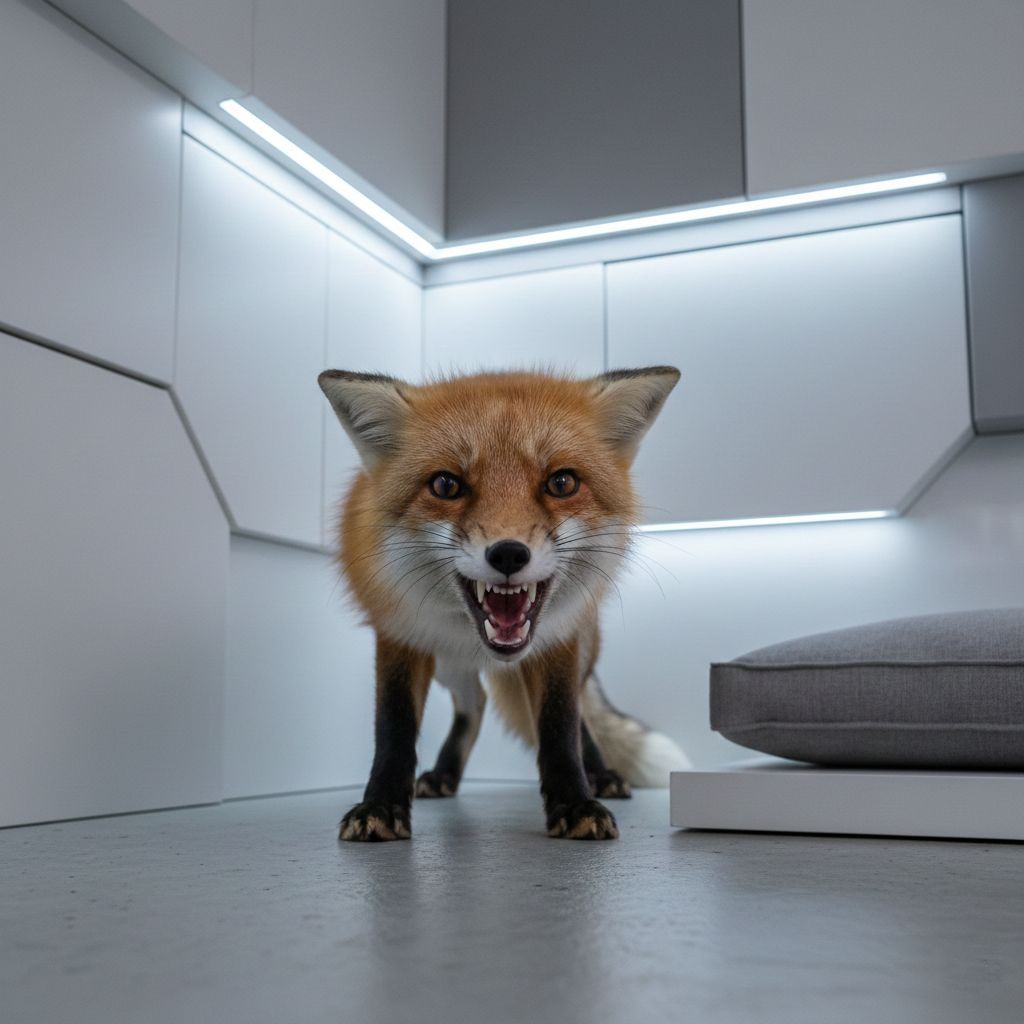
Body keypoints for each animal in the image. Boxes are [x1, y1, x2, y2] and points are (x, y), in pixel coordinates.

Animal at [318, 366, 689, 842]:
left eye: (562, 483)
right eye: (446, 485)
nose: (509, 554)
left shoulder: (557, 640)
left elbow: (560, 725)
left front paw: (574, 801)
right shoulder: (399, 633)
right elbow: (393, 727)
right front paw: (380, 805)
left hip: (581, 646)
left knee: (579, 714)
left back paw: (600, 775)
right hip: (447, 663)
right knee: (474, 703)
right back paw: (445, 774)